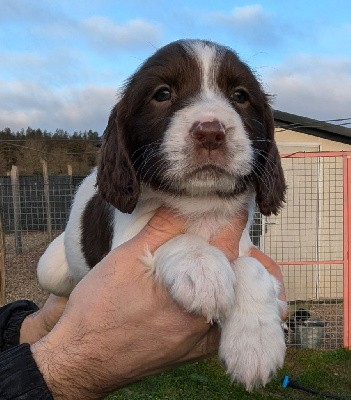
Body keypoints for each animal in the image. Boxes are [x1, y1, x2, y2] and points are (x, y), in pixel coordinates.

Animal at [37, 40, 288, 390]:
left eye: (240, 95)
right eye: (163, 93)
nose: (210, 132)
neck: (200, 204)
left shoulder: (245, 246)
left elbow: (251, 267)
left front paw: (256, 343)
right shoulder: (123, 248)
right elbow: (173, 241)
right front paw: (202, 265)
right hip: (50, 270)